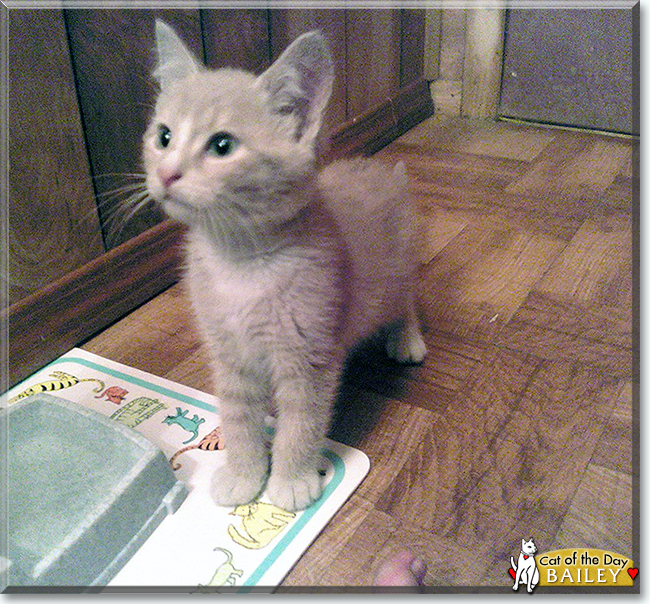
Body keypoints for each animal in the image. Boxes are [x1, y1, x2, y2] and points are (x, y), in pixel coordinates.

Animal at [143, 20, 426, 510]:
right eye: (163, 137)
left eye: (222, 145)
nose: (166, 173)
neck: (240, 262)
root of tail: (377, 170)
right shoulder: (229, 358)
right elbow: (238, 420)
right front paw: (244, 474)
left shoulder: (308, 358)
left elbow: (301, 424)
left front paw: (291, 481)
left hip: (397, 268)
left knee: (405, 299)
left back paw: (406, 338)